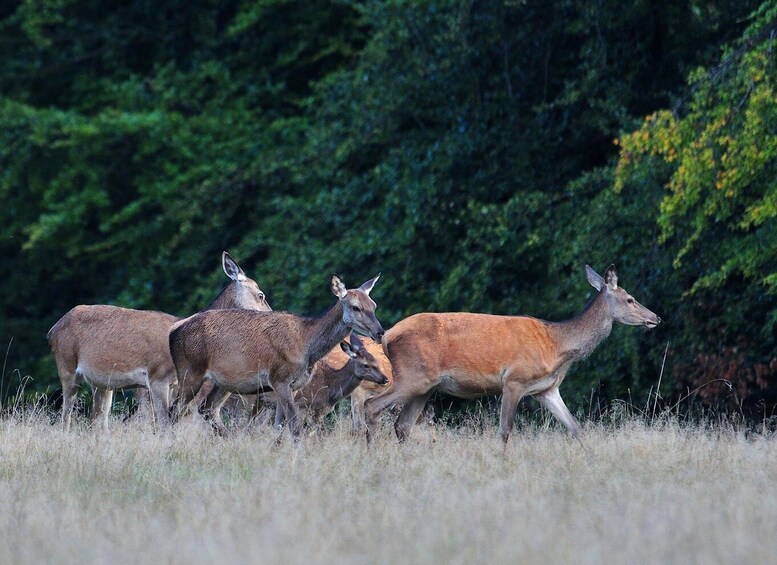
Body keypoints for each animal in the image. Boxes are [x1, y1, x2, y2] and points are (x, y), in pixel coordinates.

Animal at [48, 252, 272, 431]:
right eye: (260, 295)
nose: (271, 314)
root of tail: (52, 330)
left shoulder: (172, 384)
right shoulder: (157, 377)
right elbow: (164, 424)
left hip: (103, 383)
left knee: (98, 421)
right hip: (66, 366)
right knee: (66, 415)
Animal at [169, 274, 385, 439]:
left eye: (373, 305)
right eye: (355, 307)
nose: (380, 331)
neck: (306, 347)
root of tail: (173, 332)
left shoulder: (293, 386)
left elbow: (279, 427)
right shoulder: (279, 379)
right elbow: (294, 427)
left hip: (223, 382)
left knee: (207, 409)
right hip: (190, 372)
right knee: (174, 411)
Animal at [363, 264, 661, 447]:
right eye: (630, 299)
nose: (656, 317)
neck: (556, 346)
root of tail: (387, 336)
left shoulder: (546, 389)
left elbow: (576, 427)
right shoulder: (514, 380)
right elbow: (505, 431)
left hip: (426, 386)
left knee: (402, 425)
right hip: (413, 375)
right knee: (371, 406)